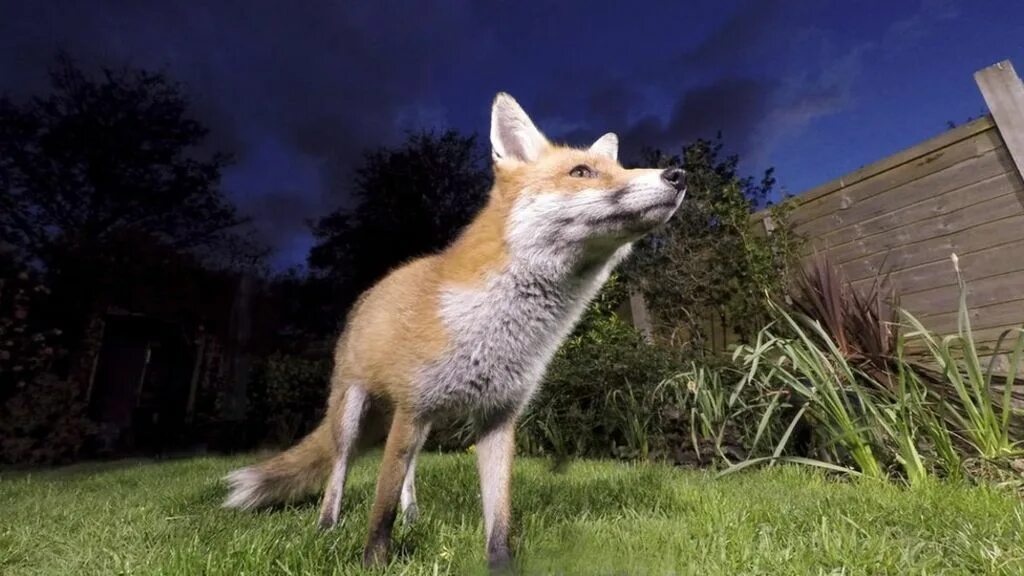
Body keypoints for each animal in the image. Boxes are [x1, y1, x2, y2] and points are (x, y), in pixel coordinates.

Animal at [225, 91, 688, 565]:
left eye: (620, 167)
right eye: (581, 172)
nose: (677, 174)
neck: (498, 333)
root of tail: (375, 287)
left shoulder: (498, 419)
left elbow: (498, 518)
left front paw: (500, 567)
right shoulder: (413, 408)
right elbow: (380, 505)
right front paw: (374, 561)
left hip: (419, 424)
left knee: (408, 471)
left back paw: (414, 517)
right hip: (355, 412)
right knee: (340, 469)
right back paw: (327, 526)